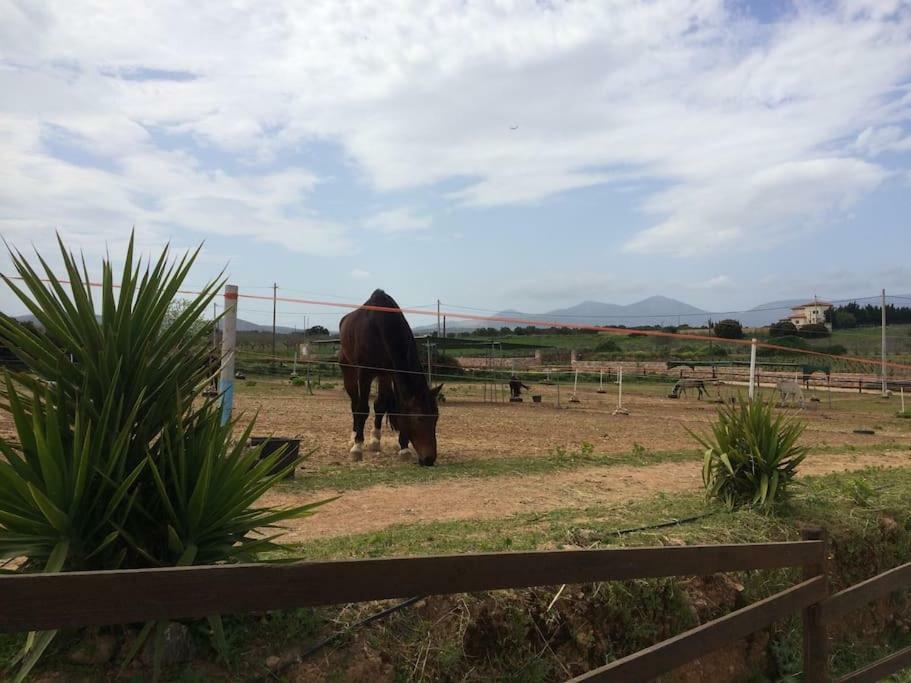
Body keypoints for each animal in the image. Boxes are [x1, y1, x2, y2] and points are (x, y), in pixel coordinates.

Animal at [340, 288, 444, 464]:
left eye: (436, 418)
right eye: (419, 418)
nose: (429, 459)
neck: (379, 326)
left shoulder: (390, 372)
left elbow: (384, 405)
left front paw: (403, 448)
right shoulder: (365, 372)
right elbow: (362, 409)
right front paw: (357, 447)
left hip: (382, 375)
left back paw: (375, 440)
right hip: (349, 372)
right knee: (354, 404)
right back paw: (353, 438)